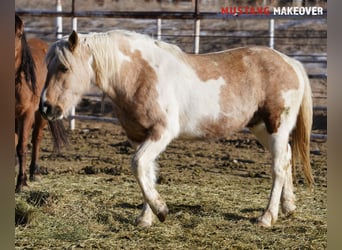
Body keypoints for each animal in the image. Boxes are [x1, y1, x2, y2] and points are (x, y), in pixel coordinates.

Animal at [15, 14, 67, 192]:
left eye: (18, 35)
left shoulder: (26, 114)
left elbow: (21, 146)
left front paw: (21, 183)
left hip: (41, 114)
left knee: (36, 138)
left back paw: (33, 173)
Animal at [39, 30, 312, 228]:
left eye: (64, 68)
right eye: (48, 67)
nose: (46, 108)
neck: (140, 75)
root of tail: (291, 62)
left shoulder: (161, 134)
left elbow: (138, 165)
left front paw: (160, 210)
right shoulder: (140, 136)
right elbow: (147, 172)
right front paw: (146, 218)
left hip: (276, 125)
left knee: (278, 167)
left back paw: (267, 217)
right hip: (260, 127)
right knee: (287, 157)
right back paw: (289, 207)